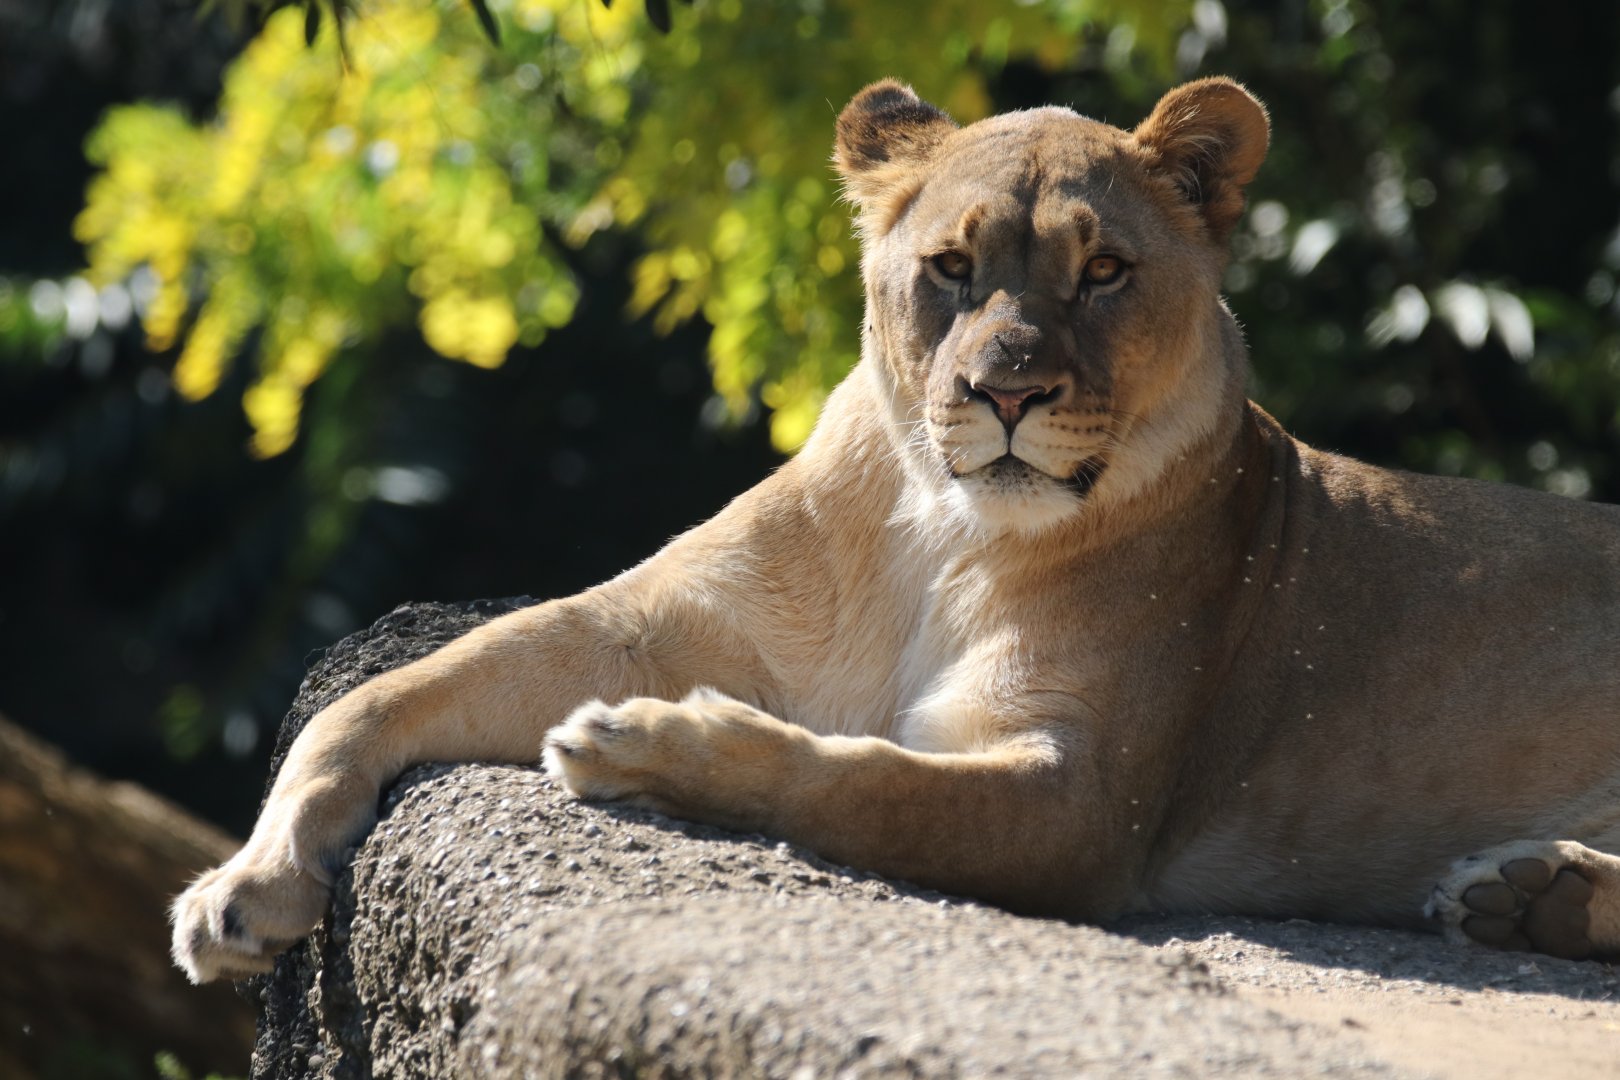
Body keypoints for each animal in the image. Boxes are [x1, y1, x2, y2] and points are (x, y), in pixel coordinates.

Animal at [172, 77, 1620, 984]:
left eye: (1104, 273)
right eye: (954, 271)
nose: (1008, 392)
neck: (941, 533)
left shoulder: (1080, 798)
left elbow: (854, 778)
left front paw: (649, 746)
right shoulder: (646, 619)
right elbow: (377, 696)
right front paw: (247, 885)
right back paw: (1528, 895)